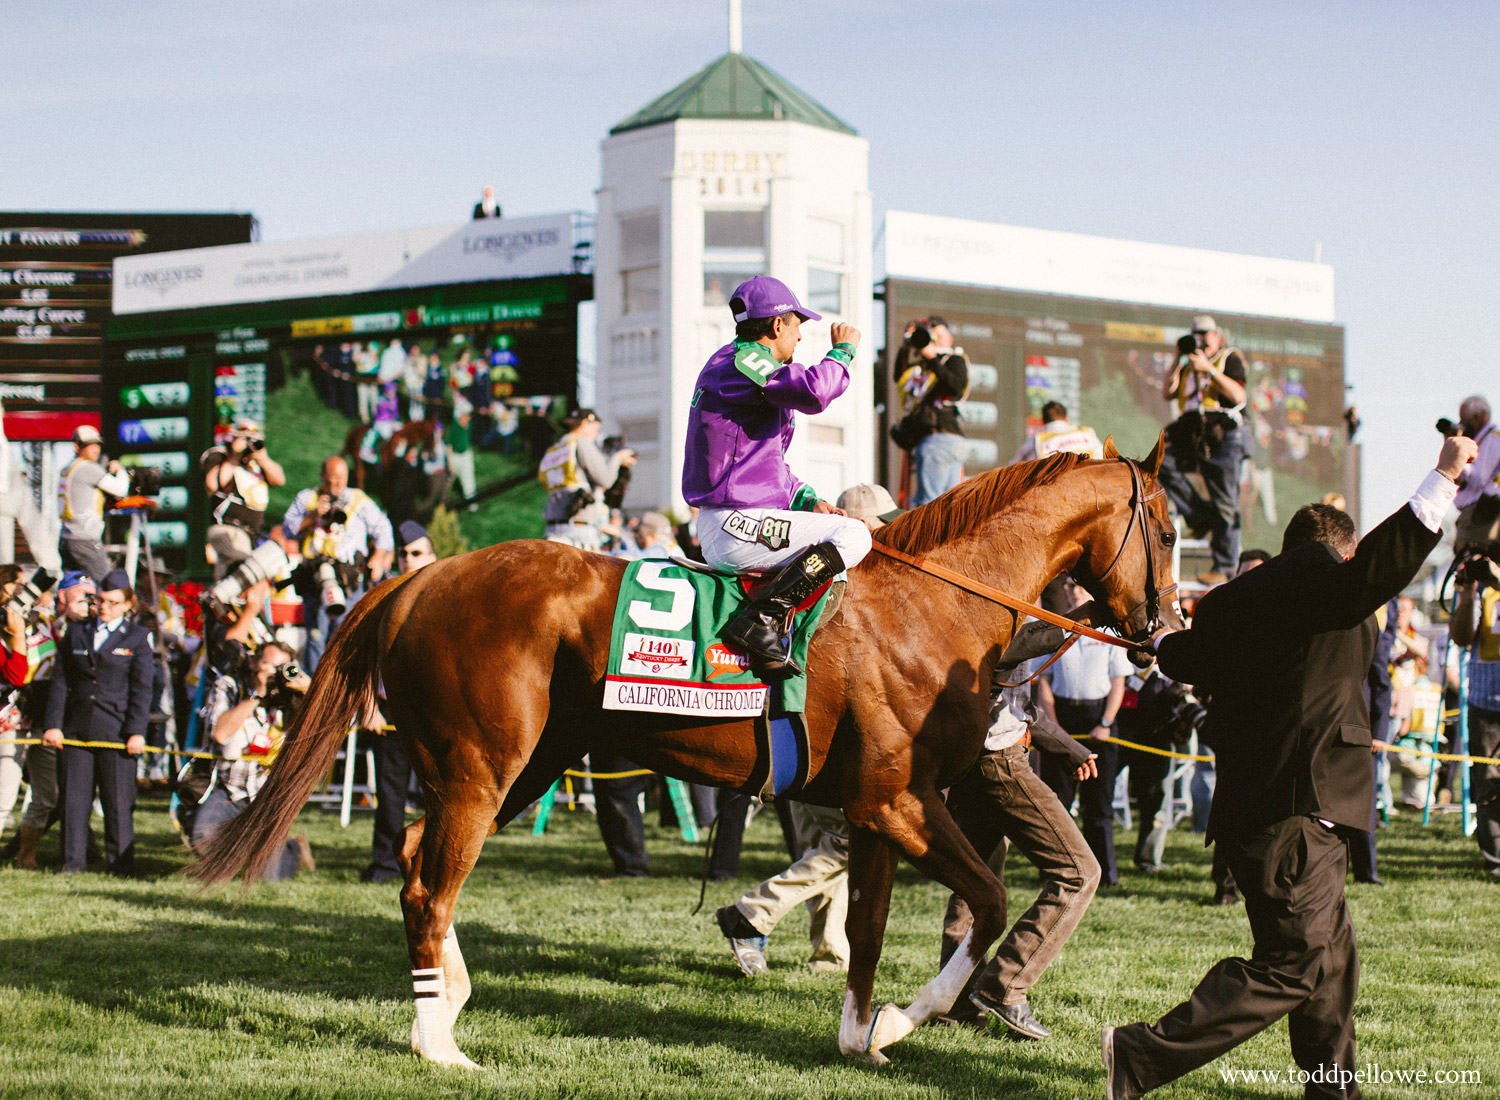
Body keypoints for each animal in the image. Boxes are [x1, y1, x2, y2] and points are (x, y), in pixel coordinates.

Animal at [193, 435, 1182, 1062]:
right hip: (482, 769)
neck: (932, 604)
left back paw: (449, 997)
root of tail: (421, 576)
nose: (1165, 629)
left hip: (518, 770)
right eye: (1170, 530)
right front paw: (909, 1022)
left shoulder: (872, 810)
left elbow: (865, 931)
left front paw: (861, 1036)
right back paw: (441, 1046)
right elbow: (986, 898)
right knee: (429, 886)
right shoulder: (899, 800)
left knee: (412, 861)